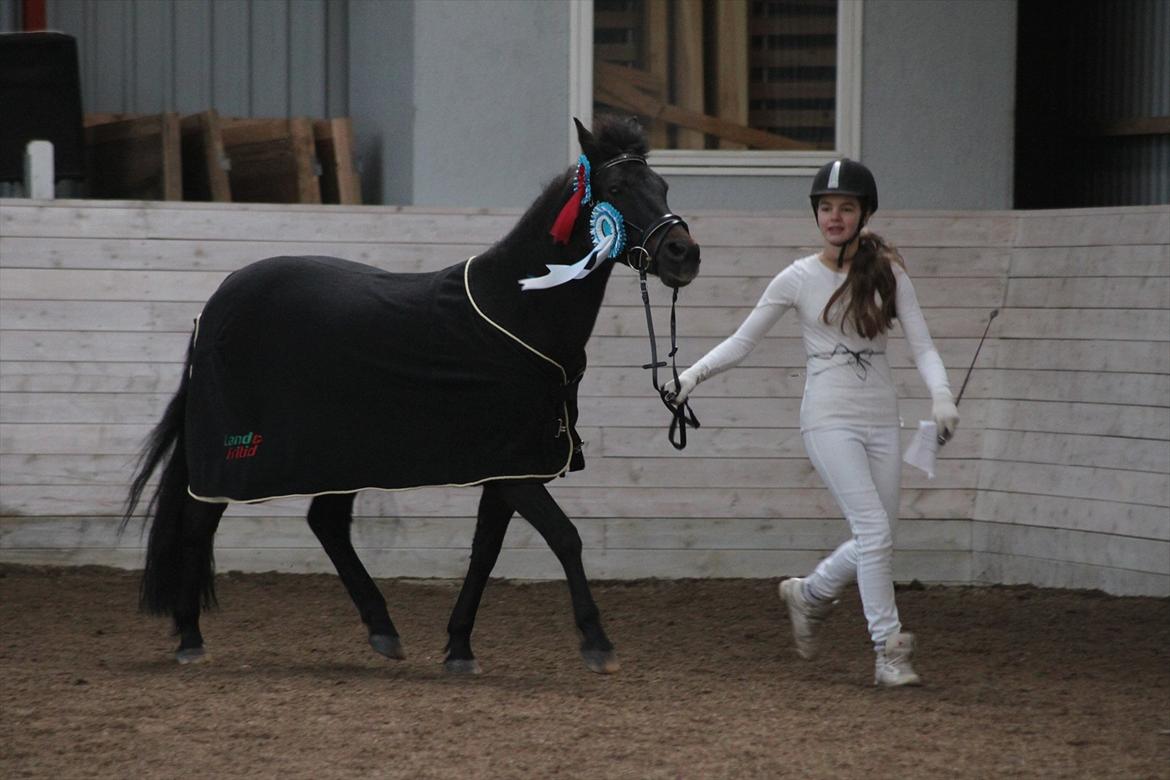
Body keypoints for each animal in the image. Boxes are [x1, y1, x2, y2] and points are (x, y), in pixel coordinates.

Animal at [123, 117, 697, 678]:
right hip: (233, 457)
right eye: (618, 189)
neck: (515, 313)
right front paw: (597, 642)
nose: (684, 254)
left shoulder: (508, 466)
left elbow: (485, 552)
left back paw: (383, 630)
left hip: (341, 457)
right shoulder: (515, 472)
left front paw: (459, 646)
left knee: (326, 524)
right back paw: (191, 638)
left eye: (663, 186)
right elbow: (565, 537)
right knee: (198, 525)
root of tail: (214, 305)